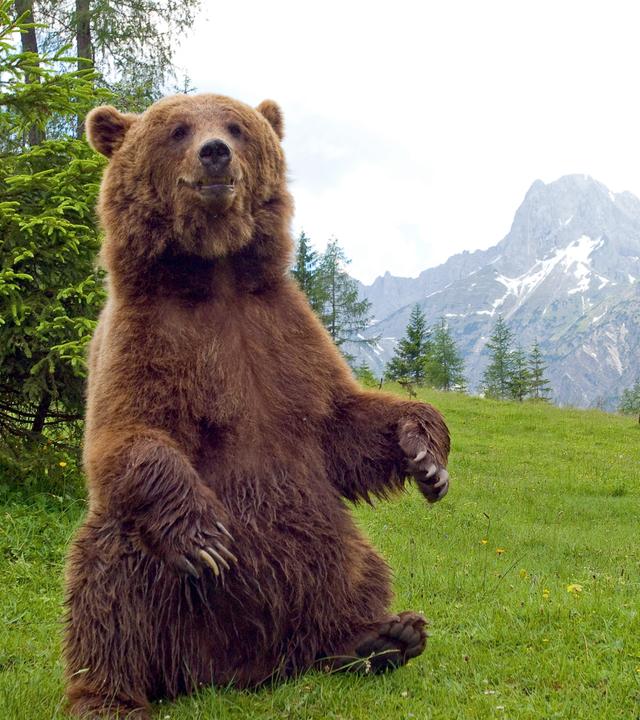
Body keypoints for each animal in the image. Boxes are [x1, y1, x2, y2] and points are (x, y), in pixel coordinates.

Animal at [63, 92, 451, 719]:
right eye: (177, 129)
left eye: (236, 126)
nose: (215, 152)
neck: (215, 274)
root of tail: (238, 670)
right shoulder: (143, 338)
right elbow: (124, 437)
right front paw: (206, 538)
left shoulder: (284, 332)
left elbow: (341, 425)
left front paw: (425, 454)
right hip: (157, 583)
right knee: (107, 584)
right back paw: (109, 697)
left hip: (326, 547)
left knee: (359, 571)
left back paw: (379, 637)